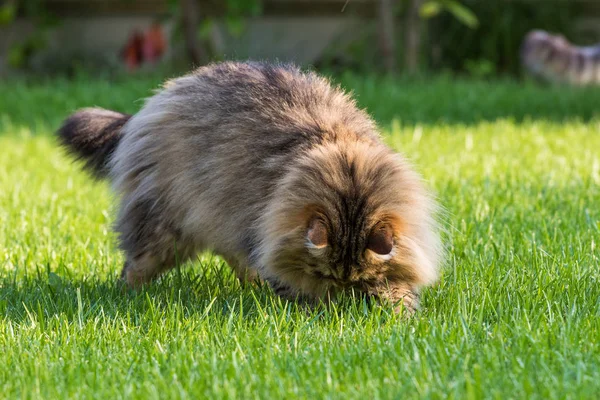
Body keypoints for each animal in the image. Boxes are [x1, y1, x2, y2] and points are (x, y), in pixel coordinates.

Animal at [58, 61, 442, 312]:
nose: (339, 301)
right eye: (323, 275)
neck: (341, 160)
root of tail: (153, 104)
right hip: (167, 225)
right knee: (135, 265)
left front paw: (398, 311)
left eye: (359, 280)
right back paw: (125, 295)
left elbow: (400, 288)